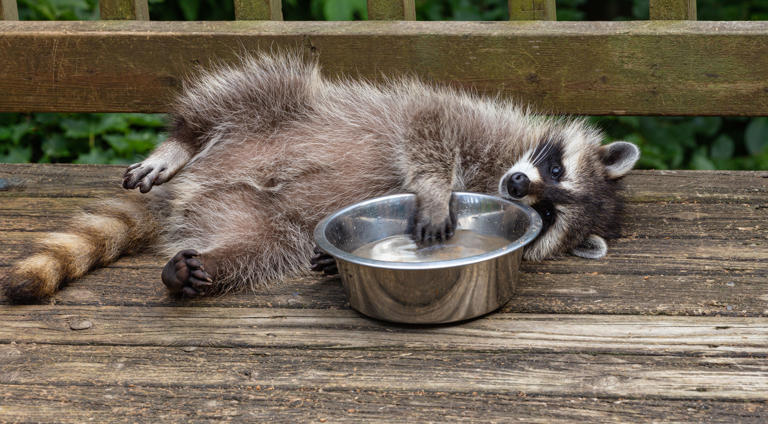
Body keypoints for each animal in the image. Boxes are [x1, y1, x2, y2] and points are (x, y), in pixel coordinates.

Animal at [2, 52, 639, 302]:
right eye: (554, 167)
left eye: (551, 213)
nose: (517, 187)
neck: (494, 169)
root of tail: (190, 188)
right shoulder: (472, 120)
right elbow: (426, 124)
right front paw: (436, 191)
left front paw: (332, 263)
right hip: (283, 109)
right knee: (249, 86)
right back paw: (181, 140)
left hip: (256, 216)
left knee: (257, 246)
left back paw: (203, 267)